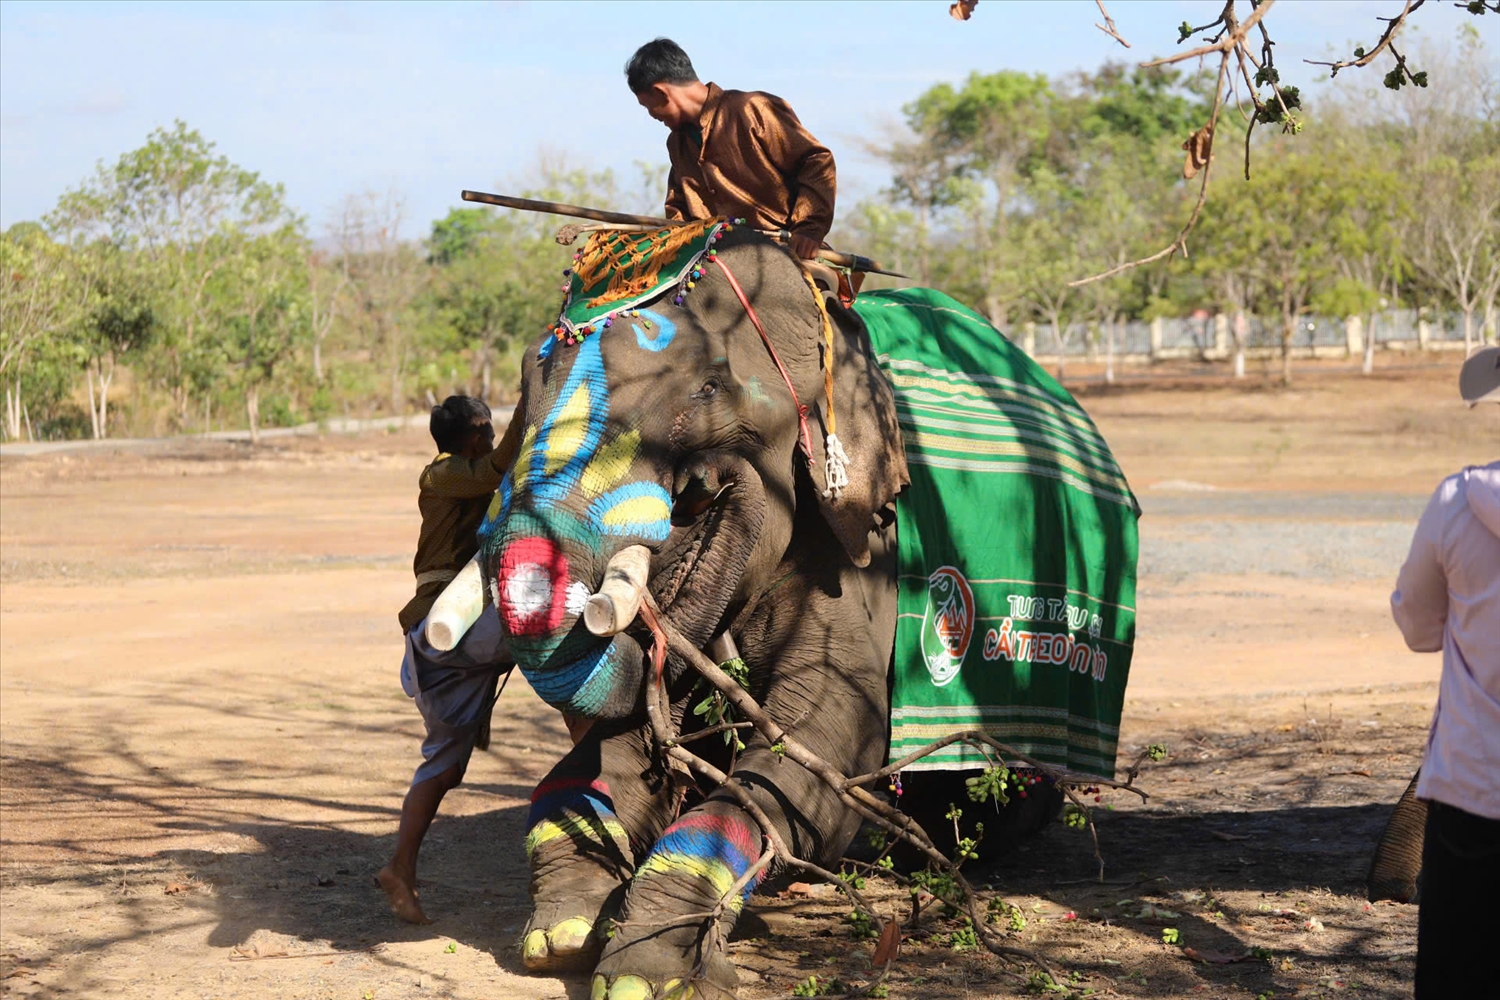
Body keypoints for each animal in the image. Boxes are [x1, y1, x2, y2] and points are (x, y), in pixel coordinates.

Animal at [474, 229, 1074, 1000]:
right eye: (526, 385)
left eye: (707, 388)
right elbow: (610, 756)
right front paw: (563, 934)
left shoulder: (855, 554)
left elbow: (822, 743)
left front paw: (645, 970)